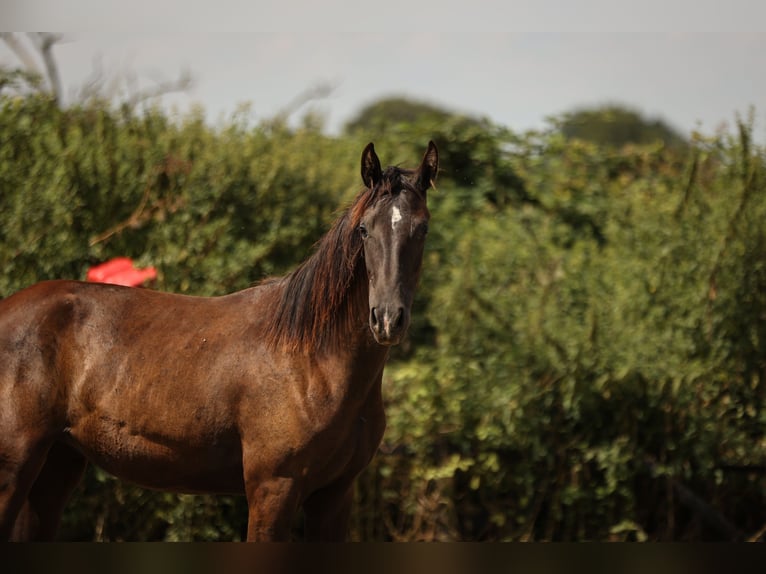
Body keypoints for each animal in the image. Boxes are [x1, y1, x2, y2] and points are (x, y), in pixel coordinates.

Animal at [0, 142, 438, 544]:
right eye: (364, 230)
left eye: (422, 229)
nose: (387, 319)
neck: (314, 363)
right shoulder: (273, 489)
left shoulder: (334, 496)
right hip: (15, 469)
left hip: (56, 466)